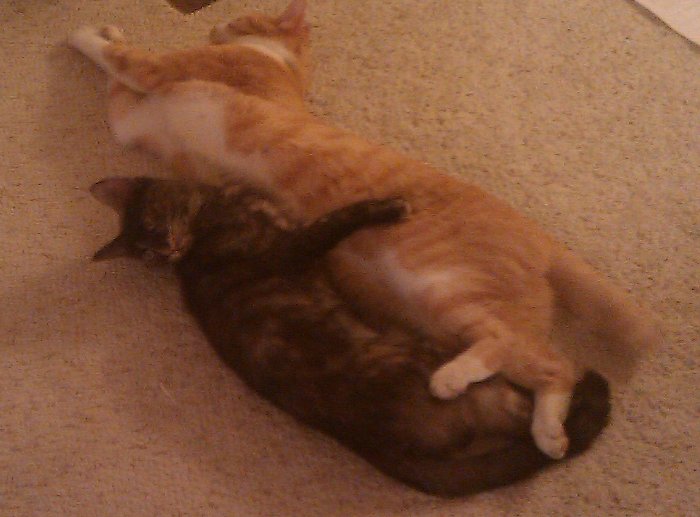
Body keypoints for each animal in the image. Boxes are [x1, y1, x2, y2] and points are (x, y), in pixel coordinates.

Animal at [67, 0, 658, 459]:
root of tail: (545, 242)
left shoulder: (156, 73)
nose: (214, 25)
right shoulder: (130, 124)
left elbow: (115, 57)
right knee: (551, 368)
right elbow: (115, 93)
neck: (281, 68)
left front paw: (86, 32)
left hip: (448, 290)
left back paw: (453, 382)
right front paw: (108, 31)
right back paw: (549, 433)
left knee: (537, 354)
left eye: (236, 17)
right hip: (445, 317)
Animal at [89, 175, 610, 497]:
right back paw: (552, 423)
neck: (210, 211)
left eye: (149, 233)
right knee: (543, 383)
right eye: (145, 248)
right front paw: (388, 206)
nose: (166, 250)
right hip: (449, 365)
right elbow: (336, 219)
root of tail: (374, 446)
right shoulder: (293, 246)